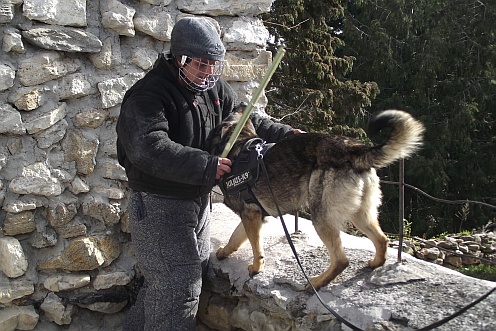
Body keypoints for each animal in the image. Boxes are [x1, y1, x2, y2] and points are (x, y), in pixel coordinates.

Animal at [209, 108, 422, 290]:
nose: (242, 105)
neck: (238, 144)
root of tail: (355, 151)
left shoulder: (250, 215)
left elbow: (255, 246)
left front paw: (256, 267)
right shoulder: (253, 216)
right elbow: (235, 237)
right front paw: (224, 252)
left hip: (321, 216)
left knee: (341, 260)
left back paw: (317, 283)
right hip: (360, 214)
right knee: (382, 239)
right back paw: (375, 263)